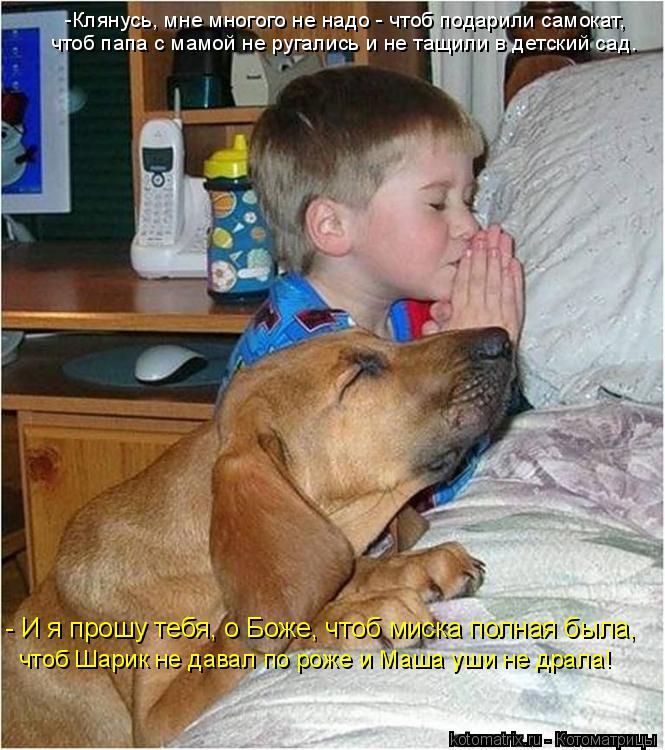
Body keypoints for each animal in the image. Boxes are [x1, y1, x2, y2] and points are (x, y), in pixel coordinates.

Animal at [2, 327, 512, 747]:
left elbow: (340, 567)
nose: (503, 339)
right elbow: (250, 636)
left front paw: (415, 566)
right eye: (361, 372)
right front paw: (358, 615)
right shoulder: (153, 722)